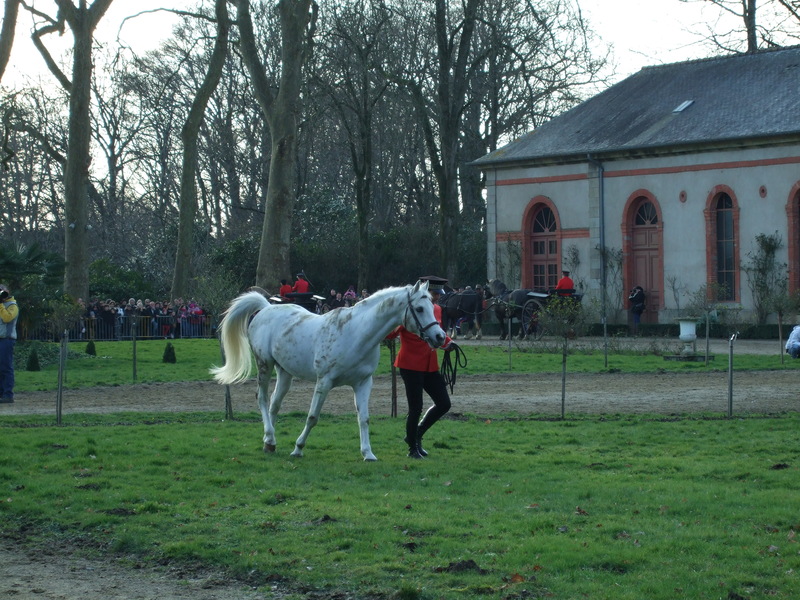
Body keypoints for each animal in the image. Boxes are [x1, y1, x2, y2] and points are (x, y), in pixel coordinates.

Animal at [209, 282, 446, 460]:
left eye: (432, 305)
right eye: (419, 308)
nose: (440, 337)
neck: (355, 333)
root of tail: (266, 308)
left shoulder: (363, 383)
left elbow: (364, 418)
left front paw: (368, 453)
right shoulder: (324, 381)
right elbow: (312, 417)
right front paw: (298, 449)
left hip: (285, 373)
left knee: (274, 405)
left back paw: (270, 442)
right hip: (264, 365)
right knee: (262, 399)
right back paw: (270, 436)